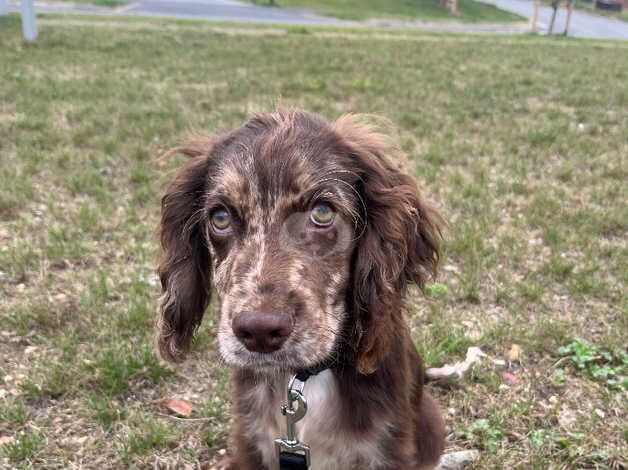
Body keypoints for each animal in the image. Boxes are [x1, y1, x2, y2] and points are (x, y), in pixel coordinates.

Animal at [157, 108, 446, 468]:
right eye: (220, 217)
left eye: (322, 212)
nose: (260, 331)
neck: (305, 377)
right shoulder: (252, 442)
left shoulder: (388, 449)